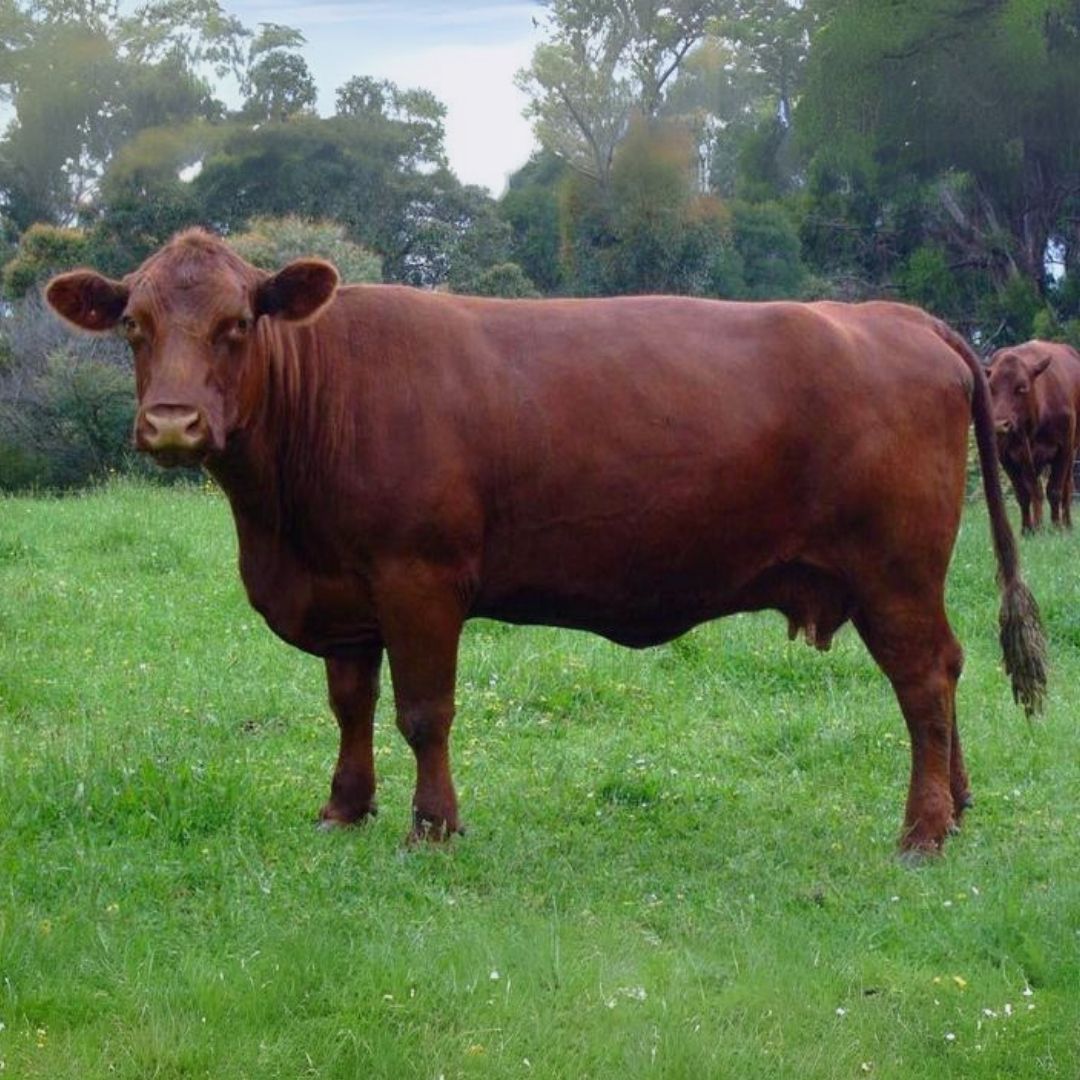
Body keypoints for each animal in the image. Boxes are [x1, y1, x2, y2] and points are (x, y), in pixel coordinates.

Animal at [45, 229, 1046, 855]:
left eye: (237, 324)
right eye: (134, 325)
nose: (172, 423)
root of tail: (895, 315)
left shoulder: (419, 579)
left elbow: (423, 711)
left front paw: (433, 828)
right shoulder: (343, 597)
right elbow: (351, 706)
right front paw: (344, 809)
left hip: (892, 571)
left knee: (923, 680)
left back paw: (922, 832)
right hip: (904, 580)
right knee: (945, 672)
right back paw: (957, 808)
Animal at [987, 340, 1080, 533]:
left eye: (1022, 388)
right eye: (991, 388)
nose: (999, 425)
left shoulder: (1064, 449)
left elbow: (1054, 490)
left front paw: (1056, 527)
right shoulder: (1006, 456)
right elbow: (1024, 493)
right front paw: (1027, 530)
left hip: (1073, 450)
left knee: (1067, 487)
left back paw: (1067, 524)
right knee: (1036, 490)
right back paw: (1038, 525)